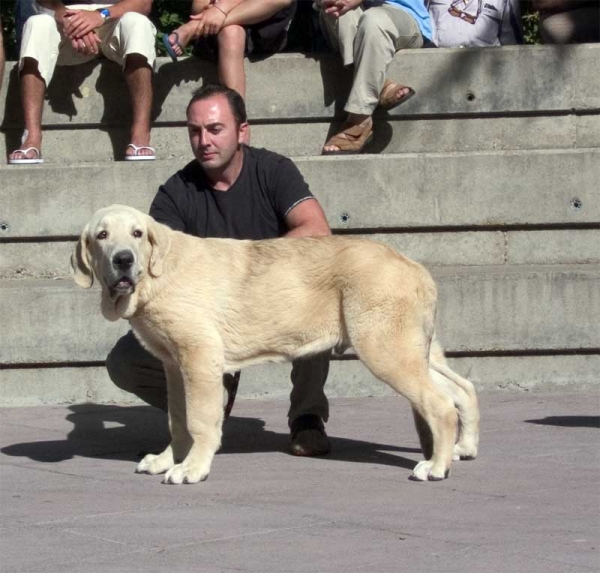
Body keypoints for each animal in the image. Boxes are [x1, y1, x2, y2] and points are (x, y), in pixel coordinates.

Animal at [71, 204, 478, 482]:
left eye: (138, 234)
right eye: (102, 236)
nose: (123, 260)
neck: (157, 274)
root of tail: (416, 267)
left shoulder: (199, 357)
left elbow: (199, 419)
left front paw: (193, 468)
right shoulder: (174, 364)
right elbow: (177, 418)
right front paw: (168, 460)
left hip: (386, 350)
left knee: (440, 404)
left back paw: (436, 466)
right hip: (416, 349)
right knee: (463, 389)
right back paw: (465, 447)